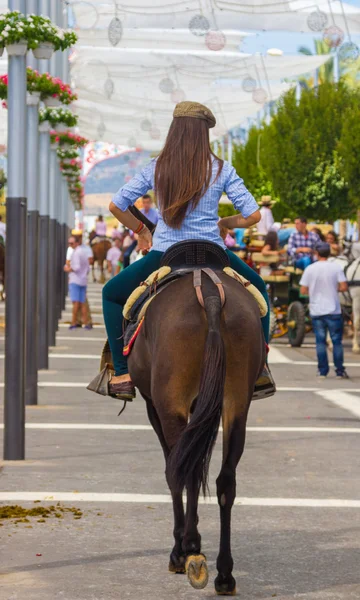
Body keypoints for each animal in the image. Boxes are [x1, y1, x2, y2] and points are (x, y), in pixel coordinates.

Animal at [128, 270, 262, 592]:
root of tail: (211, 296)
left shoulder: (155, 406)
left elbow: (173, 471)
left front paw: (181, 549)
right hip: (237, 402)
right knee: (225, 481)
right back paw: (224, 574)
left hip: (171, 403)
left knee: (182, 471)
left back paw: (189, 552)